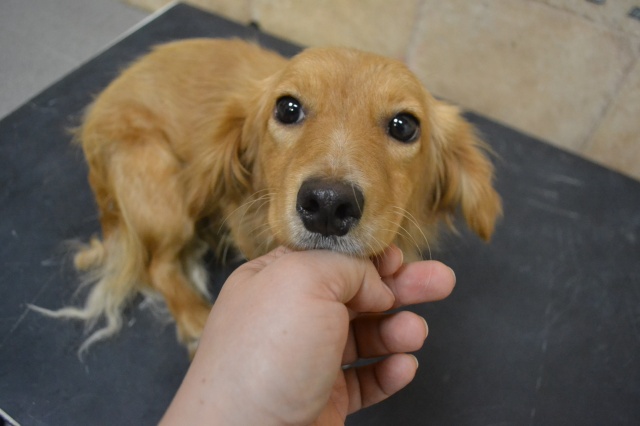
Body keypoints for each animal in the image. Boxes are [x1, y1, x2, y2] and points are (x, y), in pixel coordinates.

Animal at [35, 38, 501, 356]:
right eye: (287, 108)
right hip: (160, 186)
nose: (327, 205)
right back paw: (195, 318)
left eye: (404, 125)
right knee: (159, 266)